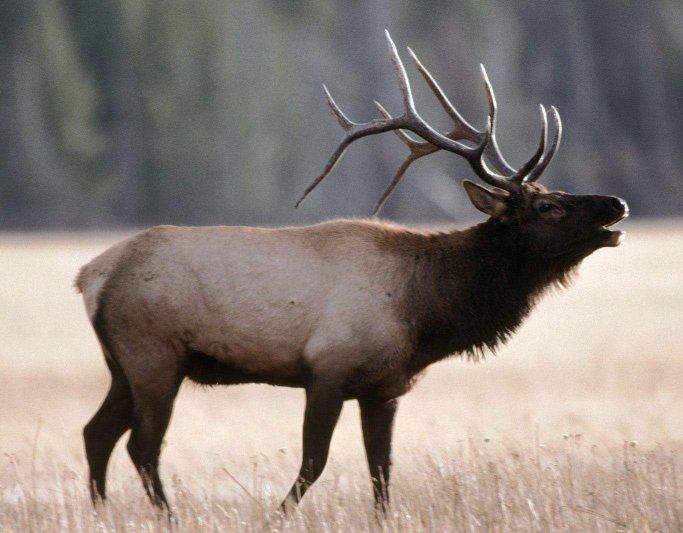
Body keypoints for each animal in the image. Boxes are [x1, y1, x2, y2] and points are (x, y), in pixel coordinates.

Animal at [77, 31, 628, 514]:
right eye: (549, 207)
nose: (617, 204)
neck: (425, 311)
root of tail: (92, 275)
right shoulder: (328, 369)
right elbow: (313, 464)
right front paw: (276, 516)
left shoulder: (384, 388)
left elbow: (381, 472)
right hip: (154, 357)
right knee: (141, 447)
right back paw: (165, 516)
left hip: (122, 364)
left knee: (96, 433)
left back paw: (101, 512)